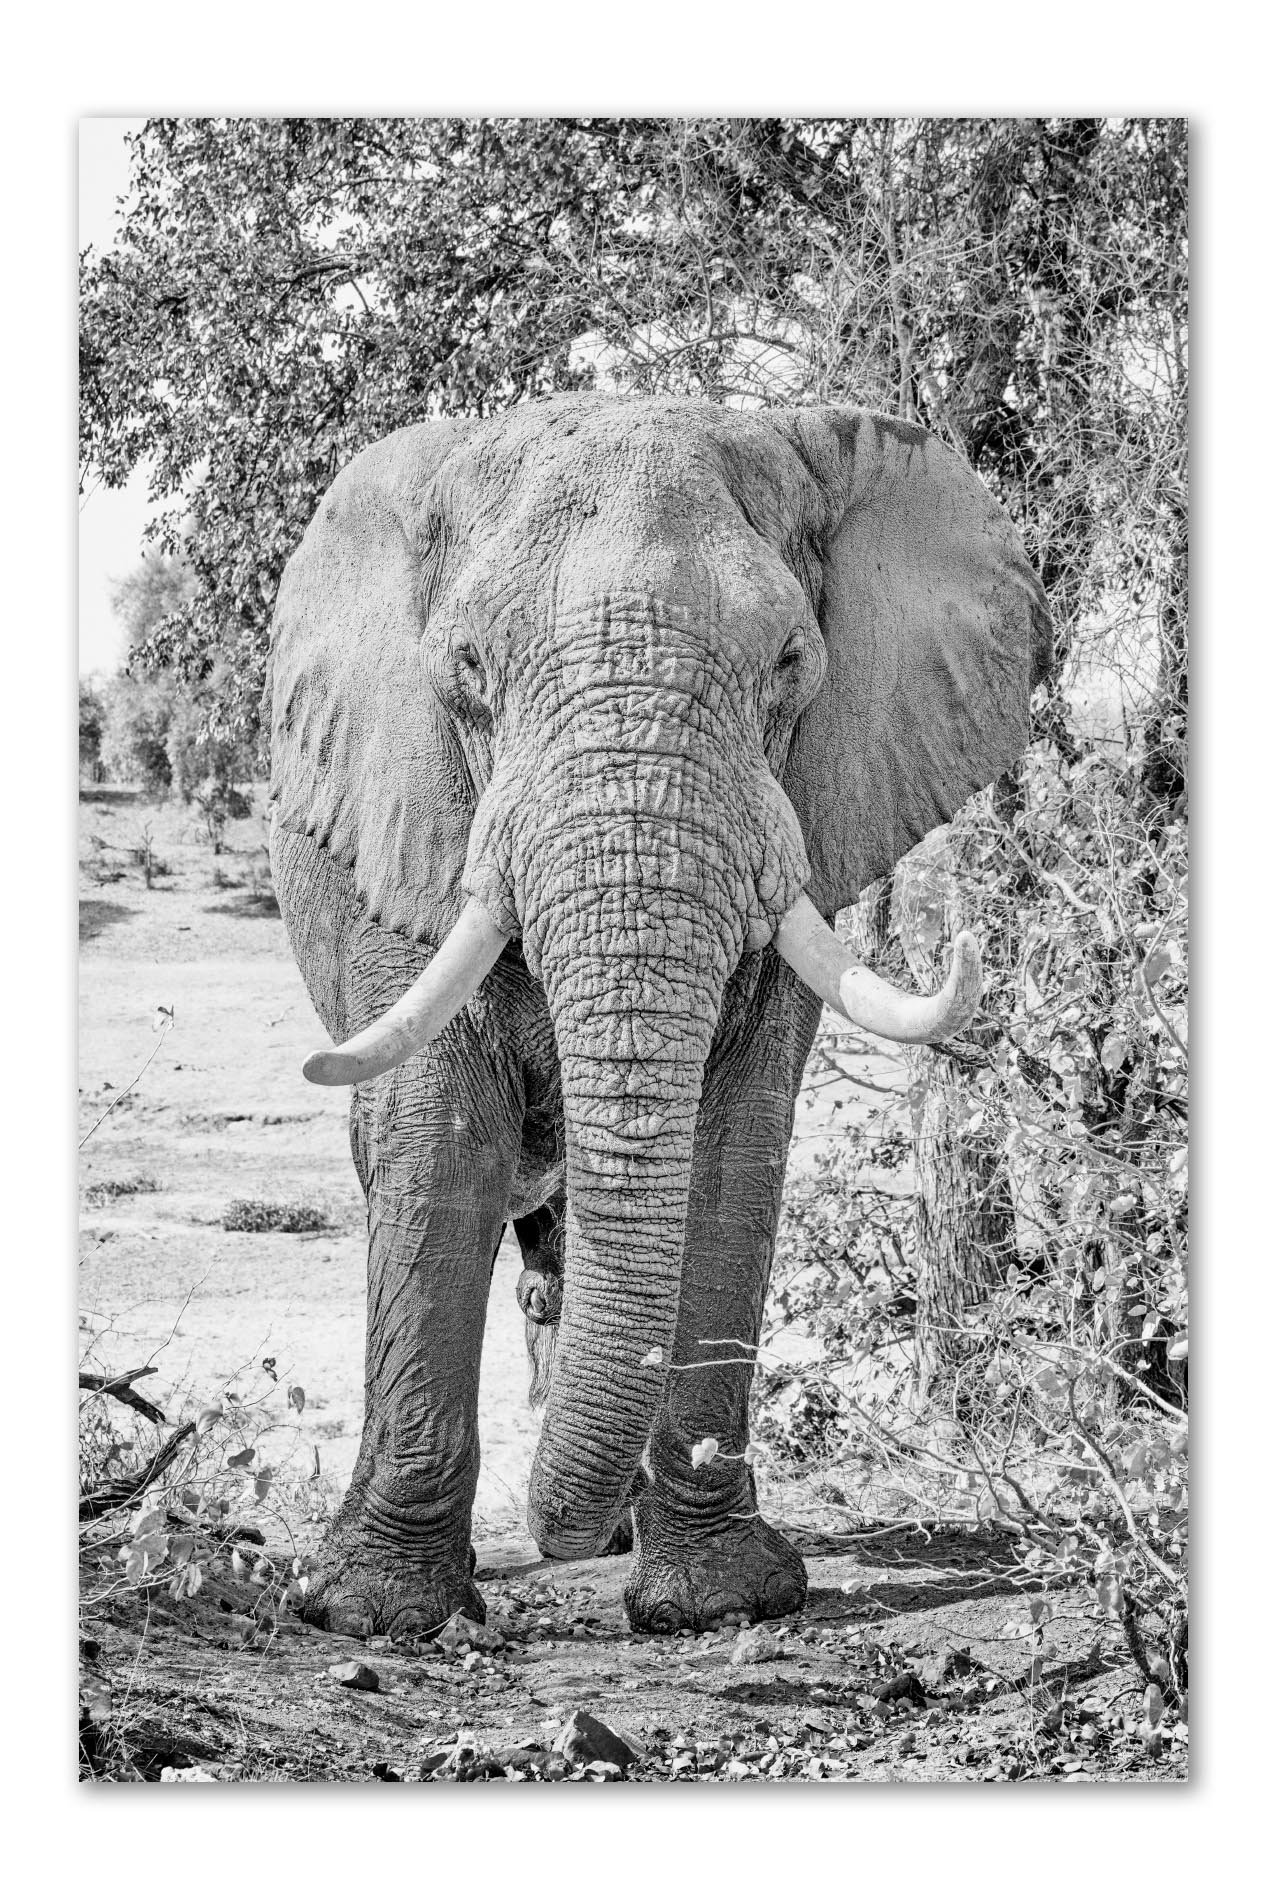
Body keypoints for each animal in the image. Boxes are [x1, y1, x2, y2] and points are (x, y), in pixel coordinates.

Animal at [264, 394, 1052, 1639]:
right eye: (468, 668)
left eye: (789, 663)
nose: (554, 1532)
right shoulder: (408, 831)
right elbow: (436, 1142)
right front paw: (374, 1614)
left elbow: (732, 1149)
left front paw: (719, 1602)